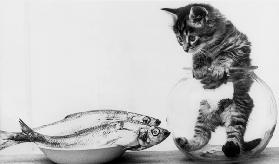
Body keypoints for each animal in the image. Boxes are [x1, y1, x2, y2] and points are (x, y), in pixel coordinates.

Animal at [163, 3, 262, 158]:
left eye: (192, 38)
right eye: (179, 39)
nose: (185, 49)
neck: (211, 45)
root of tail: (219, 117)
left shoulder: (240, 46)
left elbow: (225, 55)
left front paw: (217, 68)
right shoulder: (201, 52)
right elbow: (198, 56)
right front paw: (199, 68)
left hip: (238, 108)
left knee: (235, 132)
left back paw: (231, 147)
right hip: (203, 112)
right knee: (203, 136)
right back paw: (185, 143)